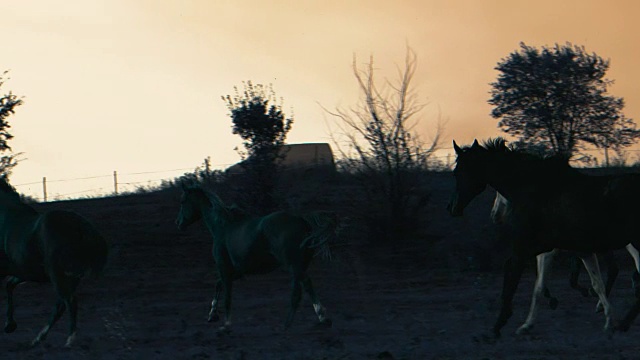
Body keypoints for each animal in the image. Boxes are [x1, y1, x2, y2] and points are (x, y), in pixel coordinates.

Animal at [0, 177, 108, 346]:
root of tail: (81, 227)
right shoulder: (25, 272)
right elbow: (10, 286)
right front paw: (10, 325)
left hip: (58, 274)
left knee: (69, 302)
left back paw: (69, 340)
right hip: (69, 277)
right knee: (61, 304)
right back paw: (39, 338)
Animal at [175, 184, 336, 334]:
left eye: (183, 201)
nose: (179, 223)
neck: (222, 227)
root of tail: (301, 220)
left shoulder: (225, 268)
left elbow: (227, 295)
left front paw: (226, 326)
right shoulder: (237, 271)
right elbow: (218, 284)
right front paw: (212, 315)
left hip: (293, 265)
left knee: (302, 289)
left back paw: (294, 323)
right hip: (299, 266)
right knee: (303, 289)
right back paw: (314, 320)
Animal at [490, 190, 640, 334]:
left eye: (499, 193)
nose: (494, 215)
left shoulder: (548, 251)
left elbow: (539, 285)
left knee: (621, 266)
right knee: (615, 269)